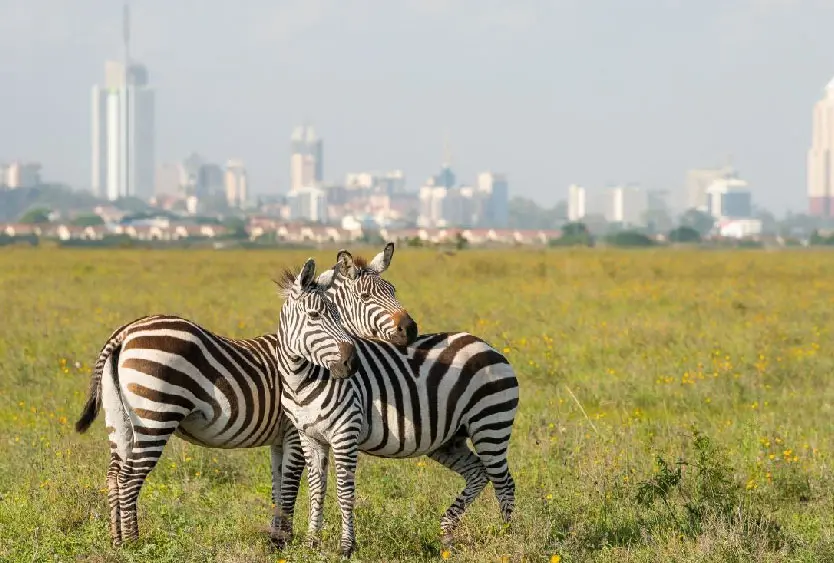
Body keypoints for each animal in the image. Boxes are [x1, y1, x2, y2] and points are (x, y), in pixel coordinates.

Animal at [73, 255, 408, 547]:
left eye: (393, 290)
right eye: (366, 297)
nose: (411, 328)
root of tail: (125, 333)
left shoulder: (279, 439)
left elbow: (278, 487)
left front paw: (275, 539)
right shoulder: (295, 432)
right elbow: (290, 487)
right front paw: (284, 540)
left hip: (119, 418)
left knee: (114, 475)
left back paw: (116, 540)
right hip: (155, 415)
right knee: (130, 478)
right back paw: (134, 543)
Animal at [279, 323, 519, 556]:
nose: (346, 366)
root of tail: (487, 346)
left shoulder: (345, 432)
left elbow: (343, 491)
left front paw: (346, 547)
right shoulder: (310, 437)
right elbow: (316, 490)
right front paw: (311, 544)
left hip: (490, 422)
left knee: (504, 483)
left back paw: (508, 538)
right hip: (448, 441)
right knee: (478, 473)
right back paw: (447, 533)